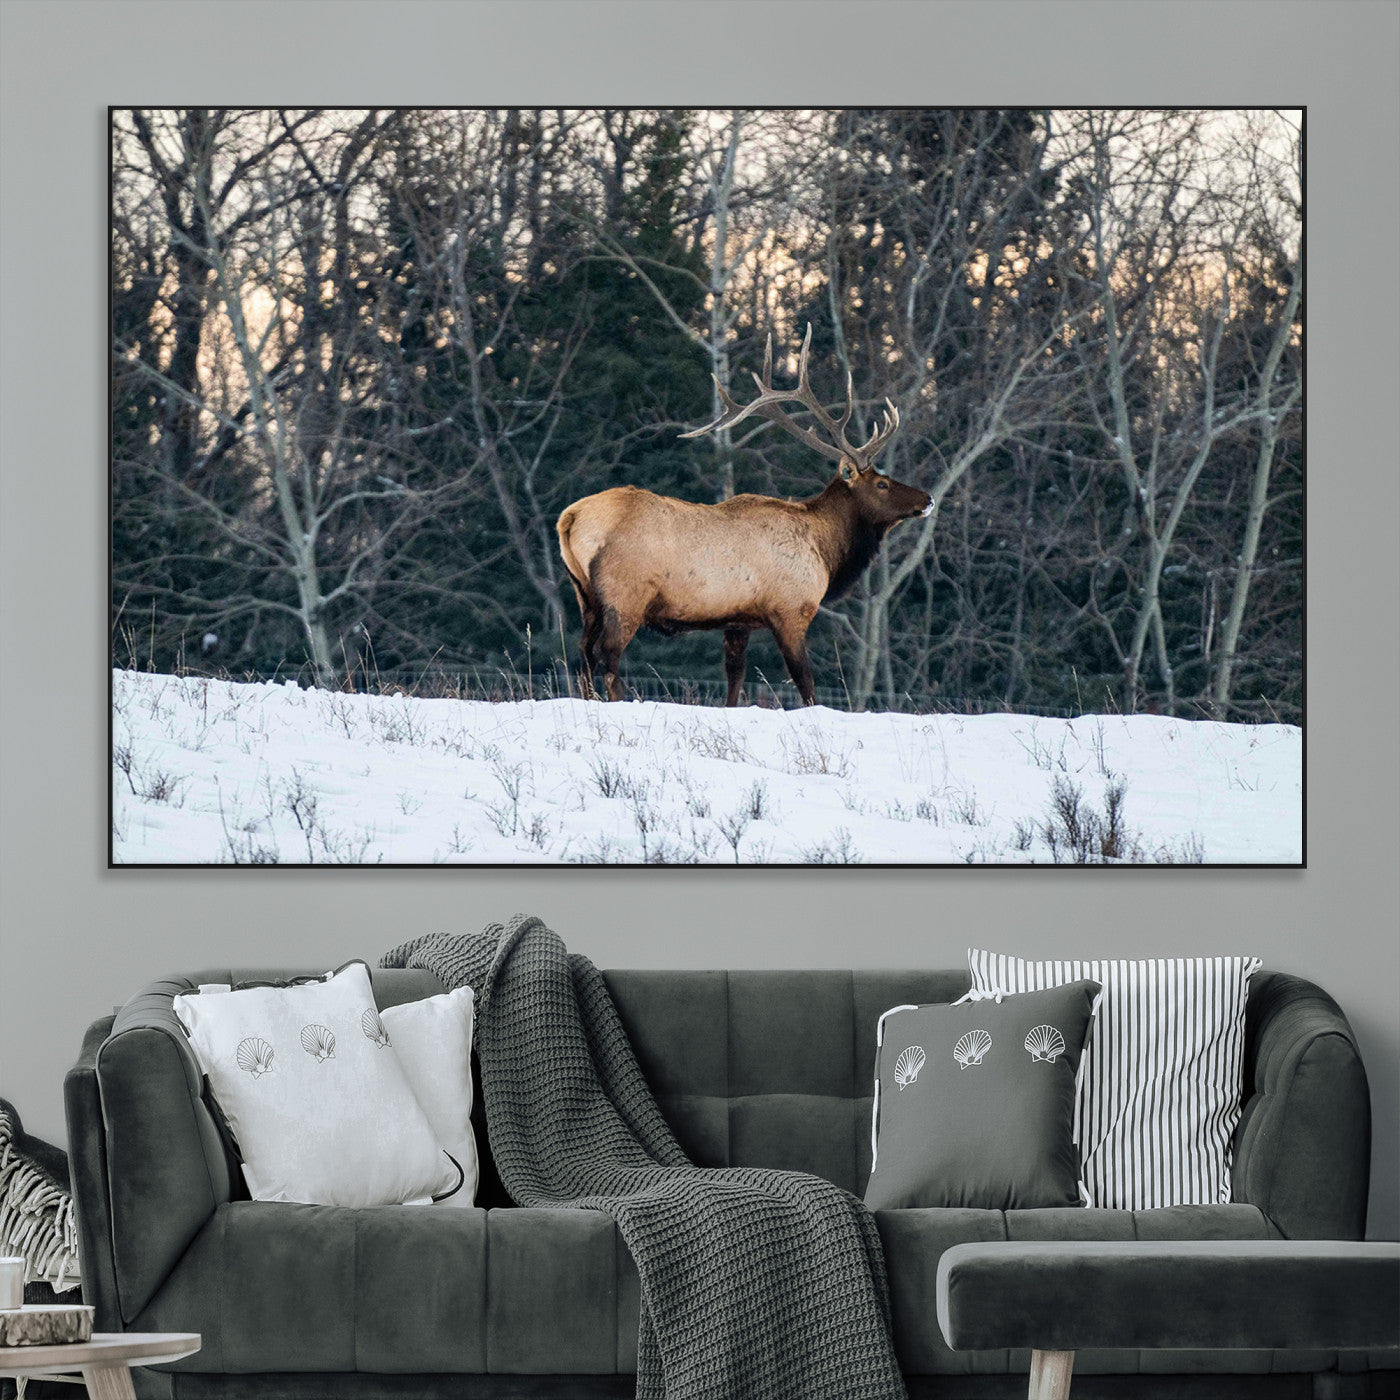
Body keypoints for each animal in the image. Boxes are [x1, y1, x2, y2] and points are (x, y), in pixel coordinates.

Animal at [555, 325, 932, 706]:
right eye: (882, 484)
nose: (928, 498)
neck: (825, 550)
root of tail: (570, 518)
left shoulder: (737, 620)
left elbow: (735, 677)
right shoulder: (790, 608)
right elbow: (805, 681)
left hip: (586, 596)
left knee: (583, 652)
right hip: (625, 594)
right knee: (607, 653)